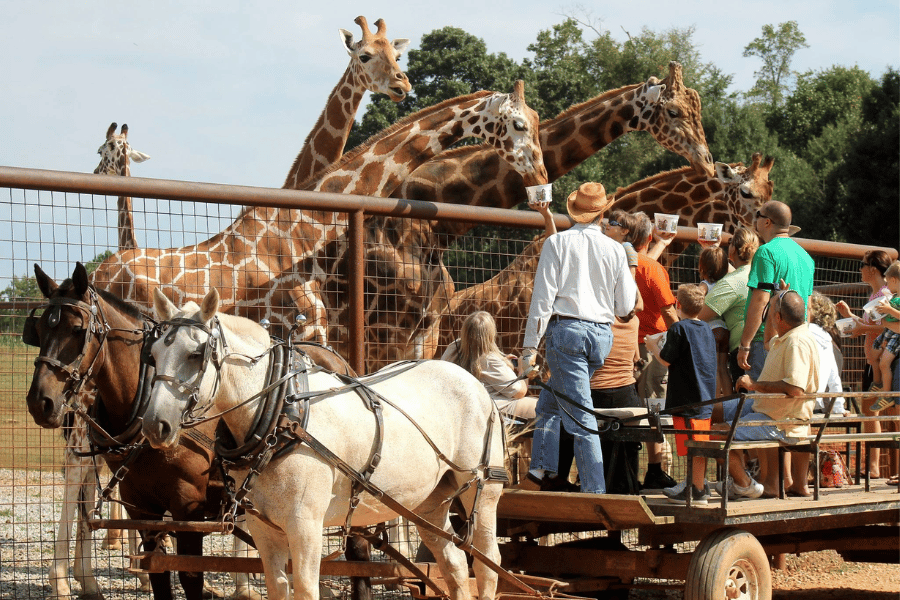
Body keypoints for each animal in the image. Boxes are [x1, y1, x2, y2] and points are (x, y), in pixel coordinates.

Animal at [91, 79, 544, 370]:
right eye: (519, 124)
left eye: (538, 121)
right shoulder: (303, 327)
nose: (541, 182)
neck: (309, 225)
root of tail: (98, 270)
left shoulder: (320, 330)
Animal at [139, 288, 506, 596]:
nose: (154, 425)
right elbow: (278, 588)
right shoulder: (263, 529)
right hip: (429, 502)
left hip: (482, 489)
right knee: (454, 565)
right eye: (152, 355)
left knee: (488, 564)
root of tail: (472, 381)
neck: (282, 415)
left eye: (196, 354)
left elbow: (305, 590)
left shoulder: (305, 526)